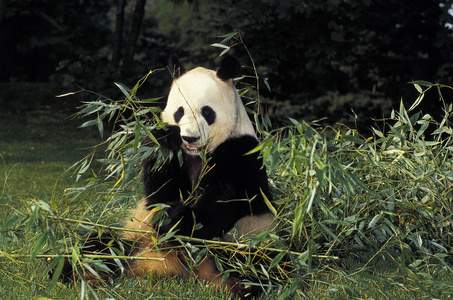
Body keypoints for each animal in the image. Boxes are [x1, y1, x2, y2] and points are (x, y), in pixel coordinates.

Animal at [52, 55, 276, 298]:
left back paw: (244, 286)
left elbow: (224, 203)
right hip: (134, 239)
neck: (196, 154)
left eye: (207, 112)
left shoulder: (241, 151)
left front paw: (177, 217)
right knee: (100, 247)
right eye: (180, 112)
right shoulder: (170, 155)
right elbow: (159, 192)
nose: (190, 137)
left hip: (248, 240)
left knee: (254, 263)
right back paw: (71, 270)